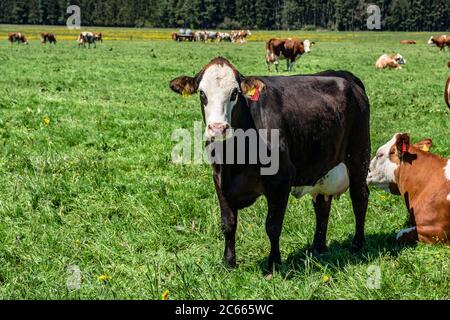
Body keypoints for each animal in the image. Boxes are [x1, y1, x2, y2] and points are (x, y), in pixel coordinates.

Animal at [169, 57, 370, 270]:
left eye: (234, 93)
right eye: (202, 93)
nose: (217, 128)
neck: (235, 157)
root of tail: (344, 75)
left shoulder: (281, 179)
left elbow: (273, 226)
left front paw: (273, 263)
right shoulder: (219, 178)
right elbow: (228, 223)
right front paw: (229, 262)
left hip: (359, 156)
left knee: (360, 198)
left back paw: (357, 243)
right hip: (323, 166)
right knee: (322, 205)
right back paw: (318, 247)